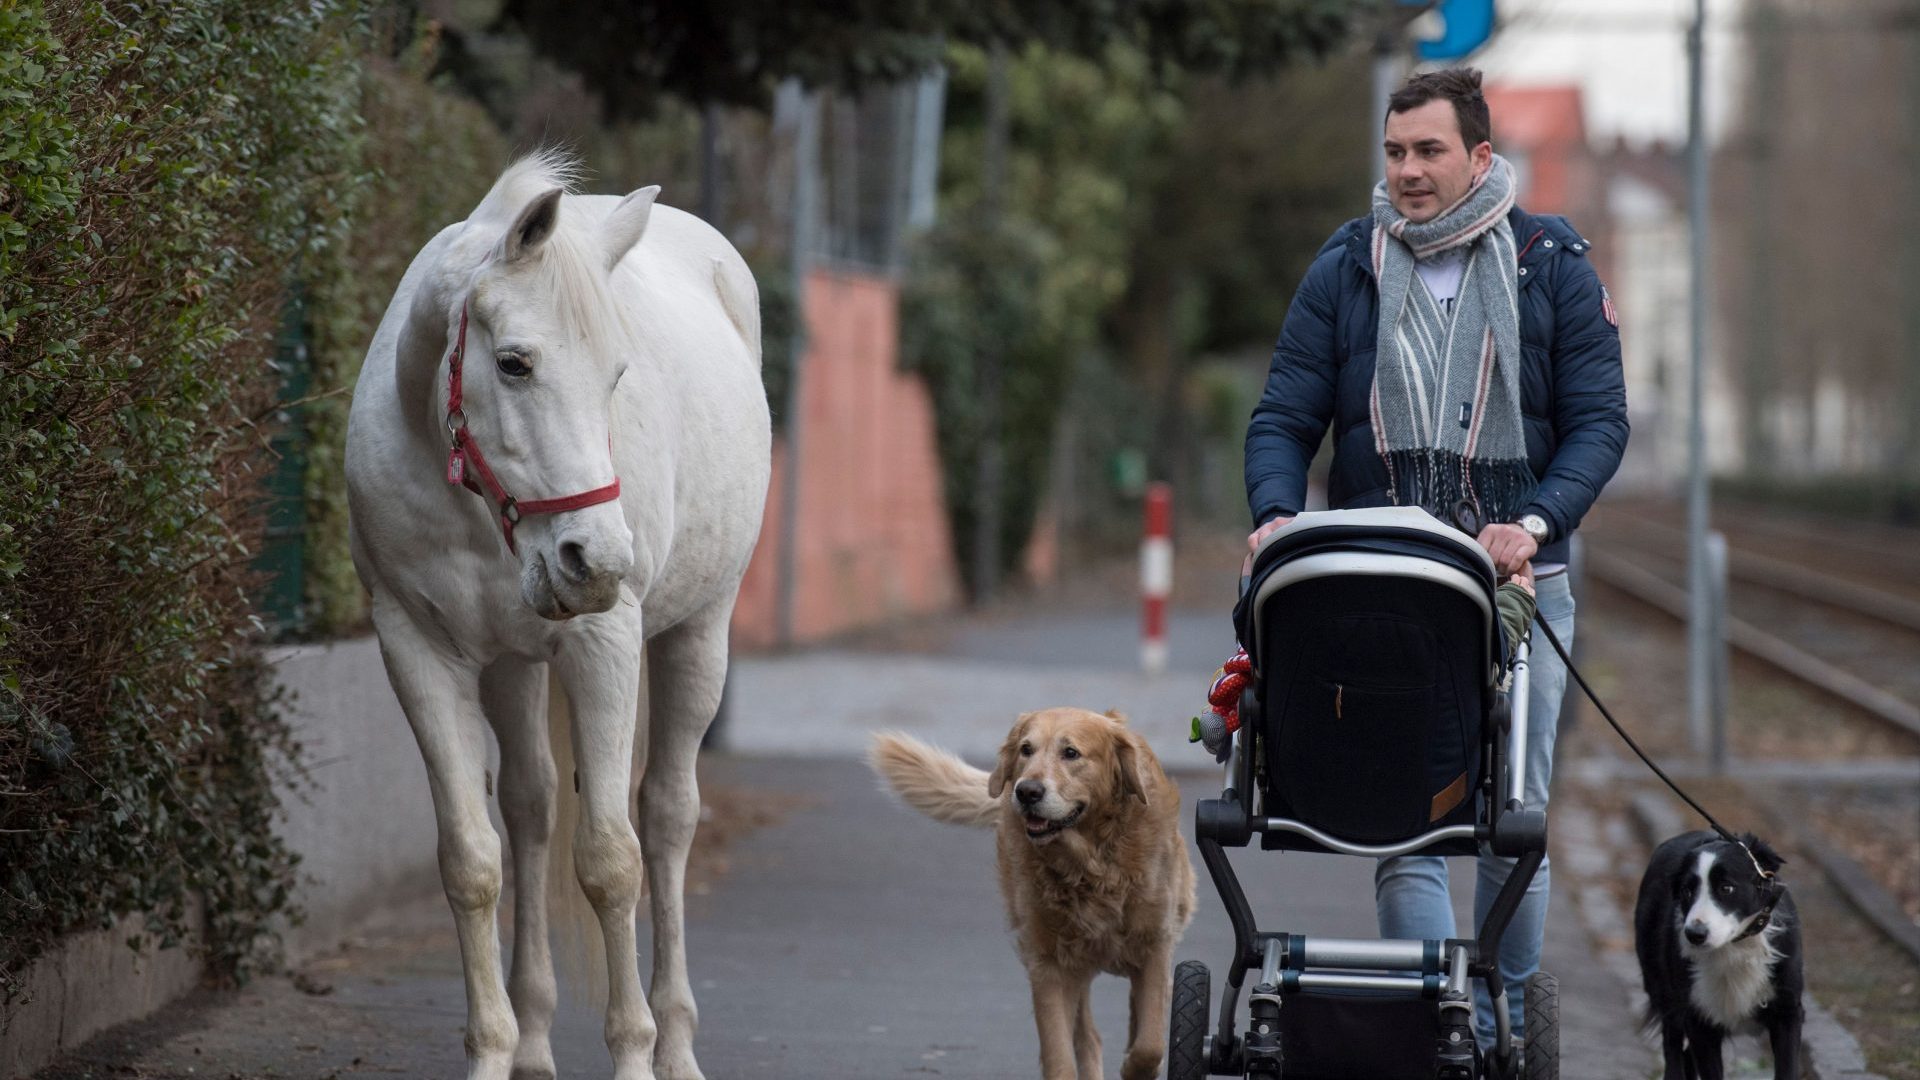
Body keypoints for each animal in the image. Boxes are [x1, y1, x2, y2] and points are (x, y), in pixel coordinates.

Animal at [349, 153, 768, 1076]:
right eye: (513, 363)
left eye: (617, 374)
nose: (596, 561)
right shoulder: (414, 649)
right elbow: (472, 860)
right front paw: (492, 1053)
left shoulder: (601, 644)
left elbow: (613, 860)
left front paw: (635, 1056)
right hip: (512, 666)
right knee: (533, 810)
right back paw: (535, 1038)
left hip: (699, 634)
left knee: (668, 817)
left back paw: (676, 1045)